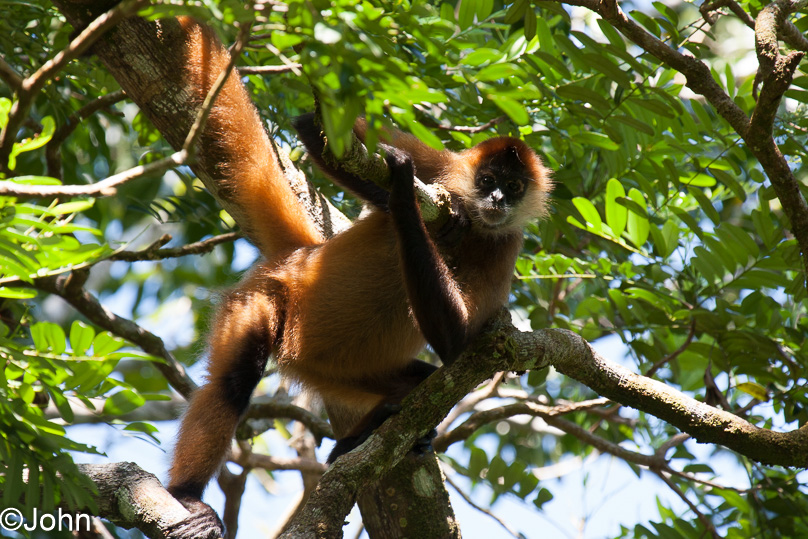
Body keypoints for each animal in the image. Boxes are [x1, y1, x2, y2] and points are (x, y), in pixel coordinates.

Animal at [164, 18, 552, 539]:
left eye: (513, 187)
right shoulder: (443, 165)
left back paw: (360, 438)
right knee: (234, 380)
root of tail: (300, 257)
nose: (496, 201)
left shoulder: (506, 245)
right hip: (266, 297)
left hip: (345, 370)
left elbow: (458, 347)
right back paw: (187, 493)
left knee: (424, 377)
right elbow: (313, 129)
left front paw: (411, 202)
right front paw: (413, 197)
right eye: (488, 180)